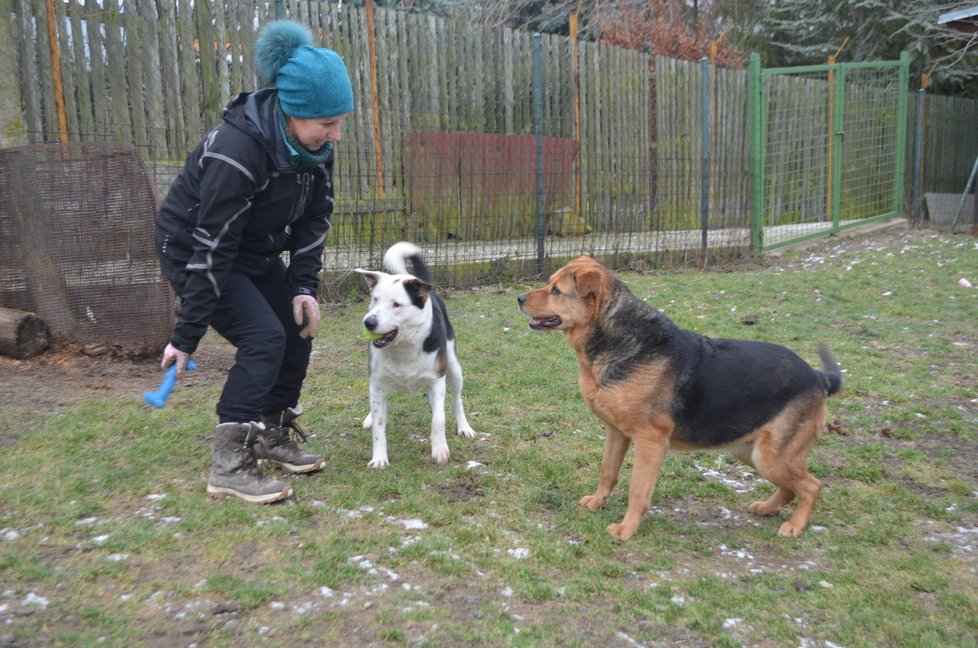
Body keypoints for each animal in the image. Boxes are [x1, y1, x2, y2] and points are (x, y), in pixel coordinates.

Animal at [354, 240, 476, 468]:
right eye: (374, 299)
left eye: (396, 304)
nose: (369, 322)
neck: (403, 347)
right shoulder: (378, 383)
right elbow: (379, 425)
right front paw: (379, 457)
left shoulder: (437, 381)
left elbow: (438, 419)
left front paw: (440, 450)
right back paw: (368, 418)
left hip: (454, 368)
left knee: (457, 399)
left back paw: (464, 427)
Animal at [516, 256, 844, 540]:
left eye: (556, 291)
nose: (518, 298)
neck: (615, 338)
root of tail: (818, 377)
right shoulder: (617, 433)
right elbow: (607, 473)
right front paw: (599, 503)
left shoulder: (650, 442)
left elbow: (638, 490)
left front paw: (627, 530)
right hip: (750, 452)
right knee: (792, 487)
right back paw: (767, 508)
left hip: (770, 457)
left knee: (811, 486)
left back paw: (795, 525)